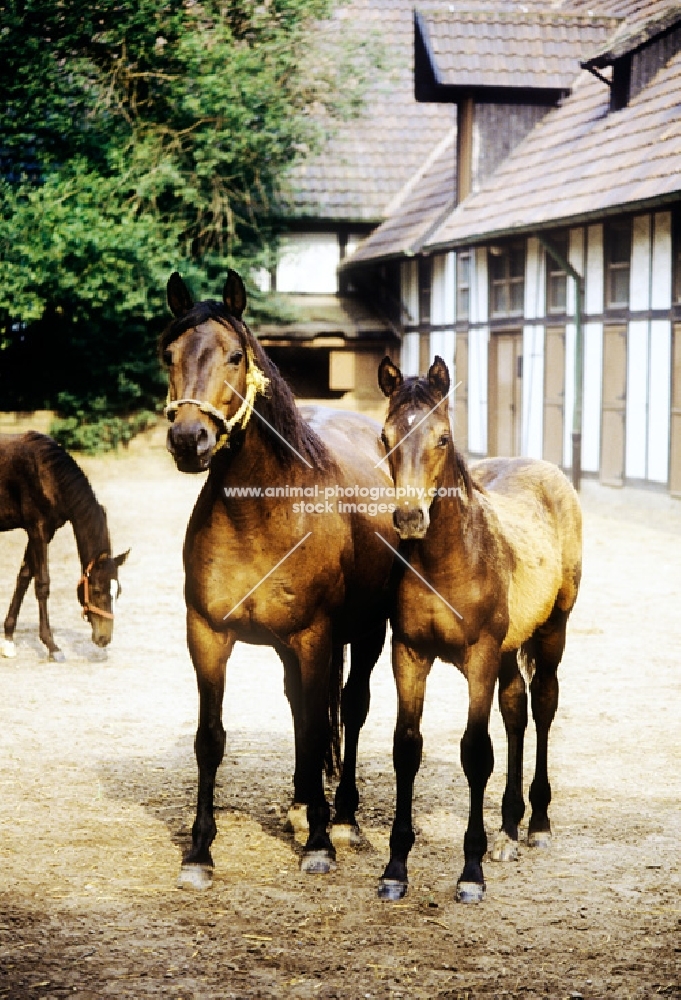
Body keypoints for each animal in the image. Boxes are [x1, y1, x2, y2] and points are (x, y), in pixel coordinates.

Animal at [0, 432, 129, 660]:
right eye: (96, 590)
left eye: (118, 591)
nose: (104, 639)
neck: (46, 471)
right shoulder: (37, 530)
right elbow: (42, 584)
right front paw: (52, 646)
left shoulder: (43, 532)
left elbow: (23, 578)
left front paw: (8, 640)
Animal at [160, 270, 396, 888]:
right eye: (168, 354)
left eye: (236, 356)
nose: (189, 440)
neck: (260, 516)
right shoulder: (207, 636)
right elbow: (211, 739)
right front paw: (199, 852)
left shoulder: (316, 636)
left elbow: (320, 726)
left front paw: (319, 843)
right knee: (301, 708)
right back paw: (300, 804)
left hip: (366, 633)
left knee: (350, 708)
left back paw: (342, 819)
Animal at [374, 360, 580, 908]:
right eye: (385, 437)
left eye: (443, 438)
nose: (409, 517)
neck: (445, 563)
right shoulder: (409, 654)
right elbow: (407, 747)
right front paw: (395, 870)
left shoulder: (480, 657)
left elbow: (475, 753)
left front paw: (470, 872)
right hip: (509, 649)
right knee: (515, 709)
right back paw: (507, 832)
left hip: (552, 630)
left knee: (543, 703)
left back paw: (537, 824)